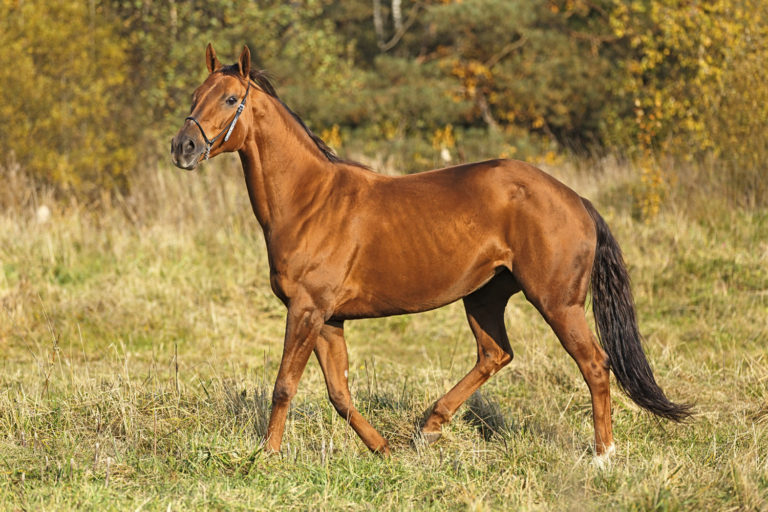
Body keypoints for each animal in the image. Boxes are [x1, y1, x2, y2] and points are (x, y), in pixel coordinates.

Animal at [171, 44, 691, 460]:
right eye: (194, 95)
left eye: (231, 99)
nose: (184, 147)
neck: (310, 200)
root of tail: (576, 199)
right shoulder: (328, 318)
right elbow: (339, 393)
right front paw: (383, 450)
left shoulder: (306, 310)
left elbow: (284, 386)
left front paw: (268, 456)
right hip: (484, 296)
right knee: (495, 354)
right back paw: (429, 428)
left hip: (557, 303)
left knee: (595, 366)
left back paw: (603, 455)